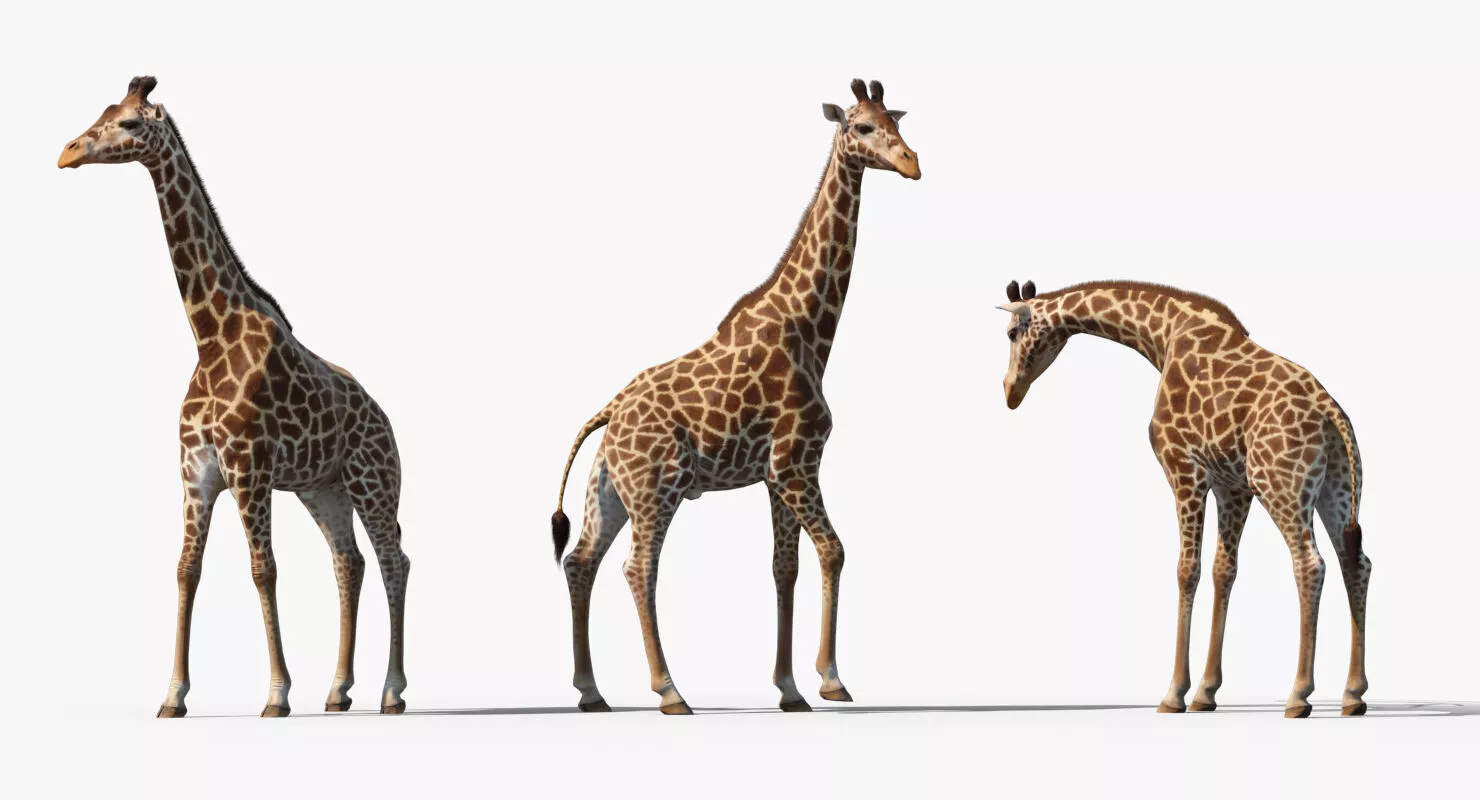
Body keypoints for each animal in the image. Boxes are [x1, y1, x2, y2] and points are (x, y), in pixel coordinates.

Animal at [58, 77, 411, 718]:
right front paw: (173, 696)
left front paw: (276, 694)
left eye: (129, 123)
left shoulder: (249, 468)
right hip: (322, 488)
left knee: (394, 560)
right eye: (102, 112)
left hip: (373, 480)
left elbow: (262, 569)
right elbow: (186, 570)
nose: (66, 152)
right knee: (348, 562)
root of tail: (385, 418)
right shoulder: (196, 472)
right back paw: (338, 690)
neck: (209, 335)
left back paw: (392, 691)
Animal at [549, 79, 919, 715]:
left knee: (580, 561)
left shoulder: (776, 473)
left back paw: (592, 691)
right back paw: (670, 690)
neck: (811, 330)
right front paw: (831, 678)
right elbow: (834, 551)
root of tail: (609, 412)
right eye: (861, 126)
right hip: (658, 486)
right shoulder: (796, 462)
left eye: (895, 122)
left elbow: (783, 567)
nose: (912, 162)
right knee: (638, 568)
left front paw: (791, 689)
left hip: (611, 488)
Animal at [996, 279, 1371, 718]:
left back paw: (1299, 695)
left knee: (1310, 564)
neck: (1163, 335)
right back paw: (1353, 694)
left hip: (1282, 483)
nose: (1010, 391)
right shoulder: (1233, 485)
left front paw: (1174, 693)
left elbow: (1186, 569)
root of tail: (1331, 413)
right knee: (1355, 562)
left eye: (1011, 333)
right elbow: (1223, 570)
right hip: (1335, 487)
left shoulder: (1184, 469)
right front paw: (1206, 692)